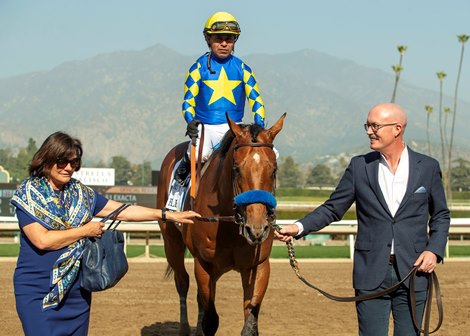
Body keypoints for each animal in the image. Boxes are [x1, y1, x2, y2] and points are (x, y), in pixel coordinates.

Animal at [156, 114, 284, 334]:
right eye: (237, 169)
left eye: (273, 169)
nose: (257, 229)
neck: (230, 225)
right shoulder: (204, 265)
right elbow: (210, 320)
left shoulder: (258, 266)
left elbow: (250, 324)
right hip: (171, 242)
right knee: (182, 281)